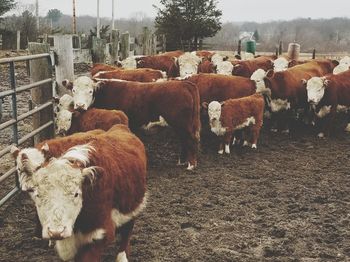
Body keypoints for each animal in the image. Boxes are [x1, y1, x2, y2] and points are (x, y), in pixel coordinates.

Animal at [15, 125, 146, 262]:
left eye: (76, 194)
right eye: (38, 195)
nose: (56, 232)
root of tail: (120, 127)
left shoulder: (100, 235)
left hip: (133, 207)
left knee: (127, 231)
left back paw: (122, 256)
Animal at [63, 75, 200, 170]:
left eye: (90, 91)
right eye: (73, 90)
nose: (80, 105)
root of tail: (185, 84)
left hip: (182, 123)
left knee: (191, 139)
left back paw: (191, 165)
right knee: (184, 140)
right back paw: (181, 161)